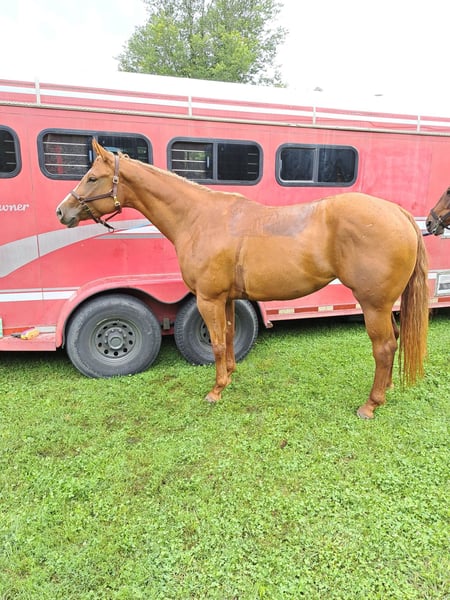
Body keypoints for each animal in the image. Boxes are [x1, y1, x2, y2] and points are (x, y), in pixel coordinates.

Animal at [56, 139, 429, 419]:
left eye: (92, 177)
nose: (62, 212)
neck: (199, 218)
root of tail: (399, 213)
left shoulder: (208, 298)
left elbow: (218, 343)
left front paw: (215, 391)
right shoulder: (227, 298)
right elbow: (229, 338)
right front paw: (230, 378)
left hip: (373, 304)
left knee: (384, 346)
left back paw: (370, 405)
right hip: (384, 305)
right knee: (394, 340)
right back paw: (386, 389)